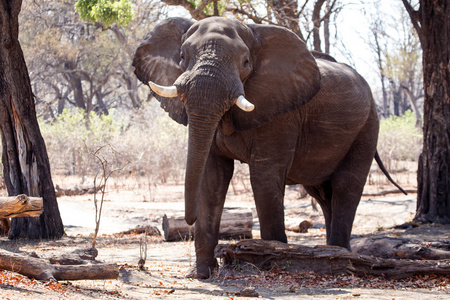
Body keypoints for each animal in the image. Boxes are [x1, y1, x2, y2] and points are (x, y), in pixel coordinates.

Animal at [132, 16, 406, 278]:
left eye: (245, 62)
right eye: (182, 56)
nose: (187, 219)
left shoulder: (281, 112)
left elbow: (264, 176)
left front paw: (270, 259)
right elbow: (212, 178)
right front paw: (202, 274)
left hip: (368, 126)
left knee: (345, 186)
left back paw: (342, 258)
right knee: (323, 195)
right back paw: (334, 253)